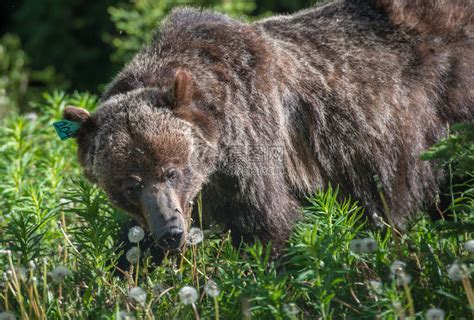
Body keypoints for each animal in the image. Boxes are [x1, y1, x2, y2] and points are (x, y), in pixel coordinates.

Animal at [64, 0, 474, 255]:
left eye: (172, 172)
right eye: (130, 184)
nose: (171, 232)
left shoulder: (255, 144)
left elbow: (271, 224)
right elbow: (133, 244)